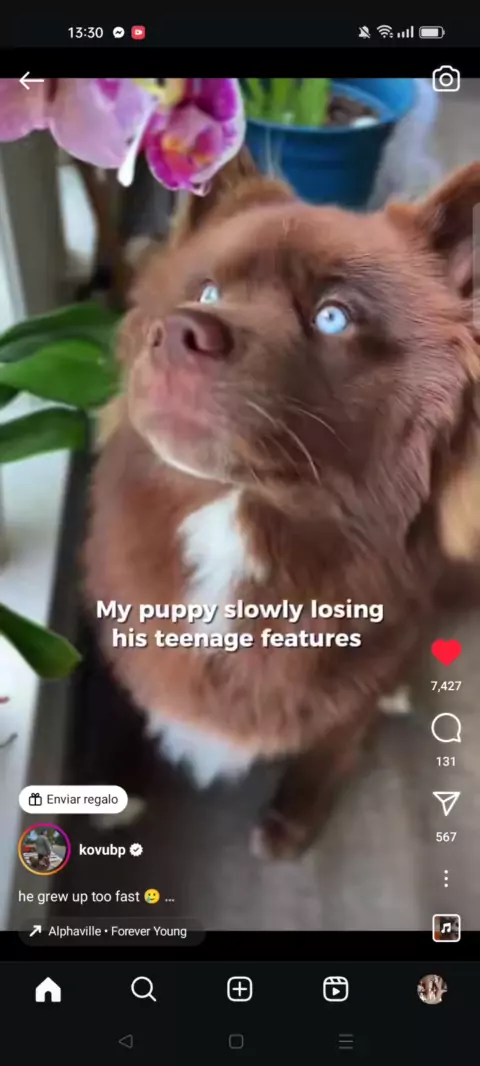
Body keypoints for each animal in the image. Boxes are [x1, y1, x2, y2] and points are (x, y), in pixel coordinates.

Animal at [84, 148, 480, 859]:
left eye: (334, 316)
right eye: (207, 292)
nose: (179, 331)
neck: (238, 523)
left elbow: (332, 739)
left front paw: (293, 820)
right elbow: (128, 689)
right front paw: (119, 786)